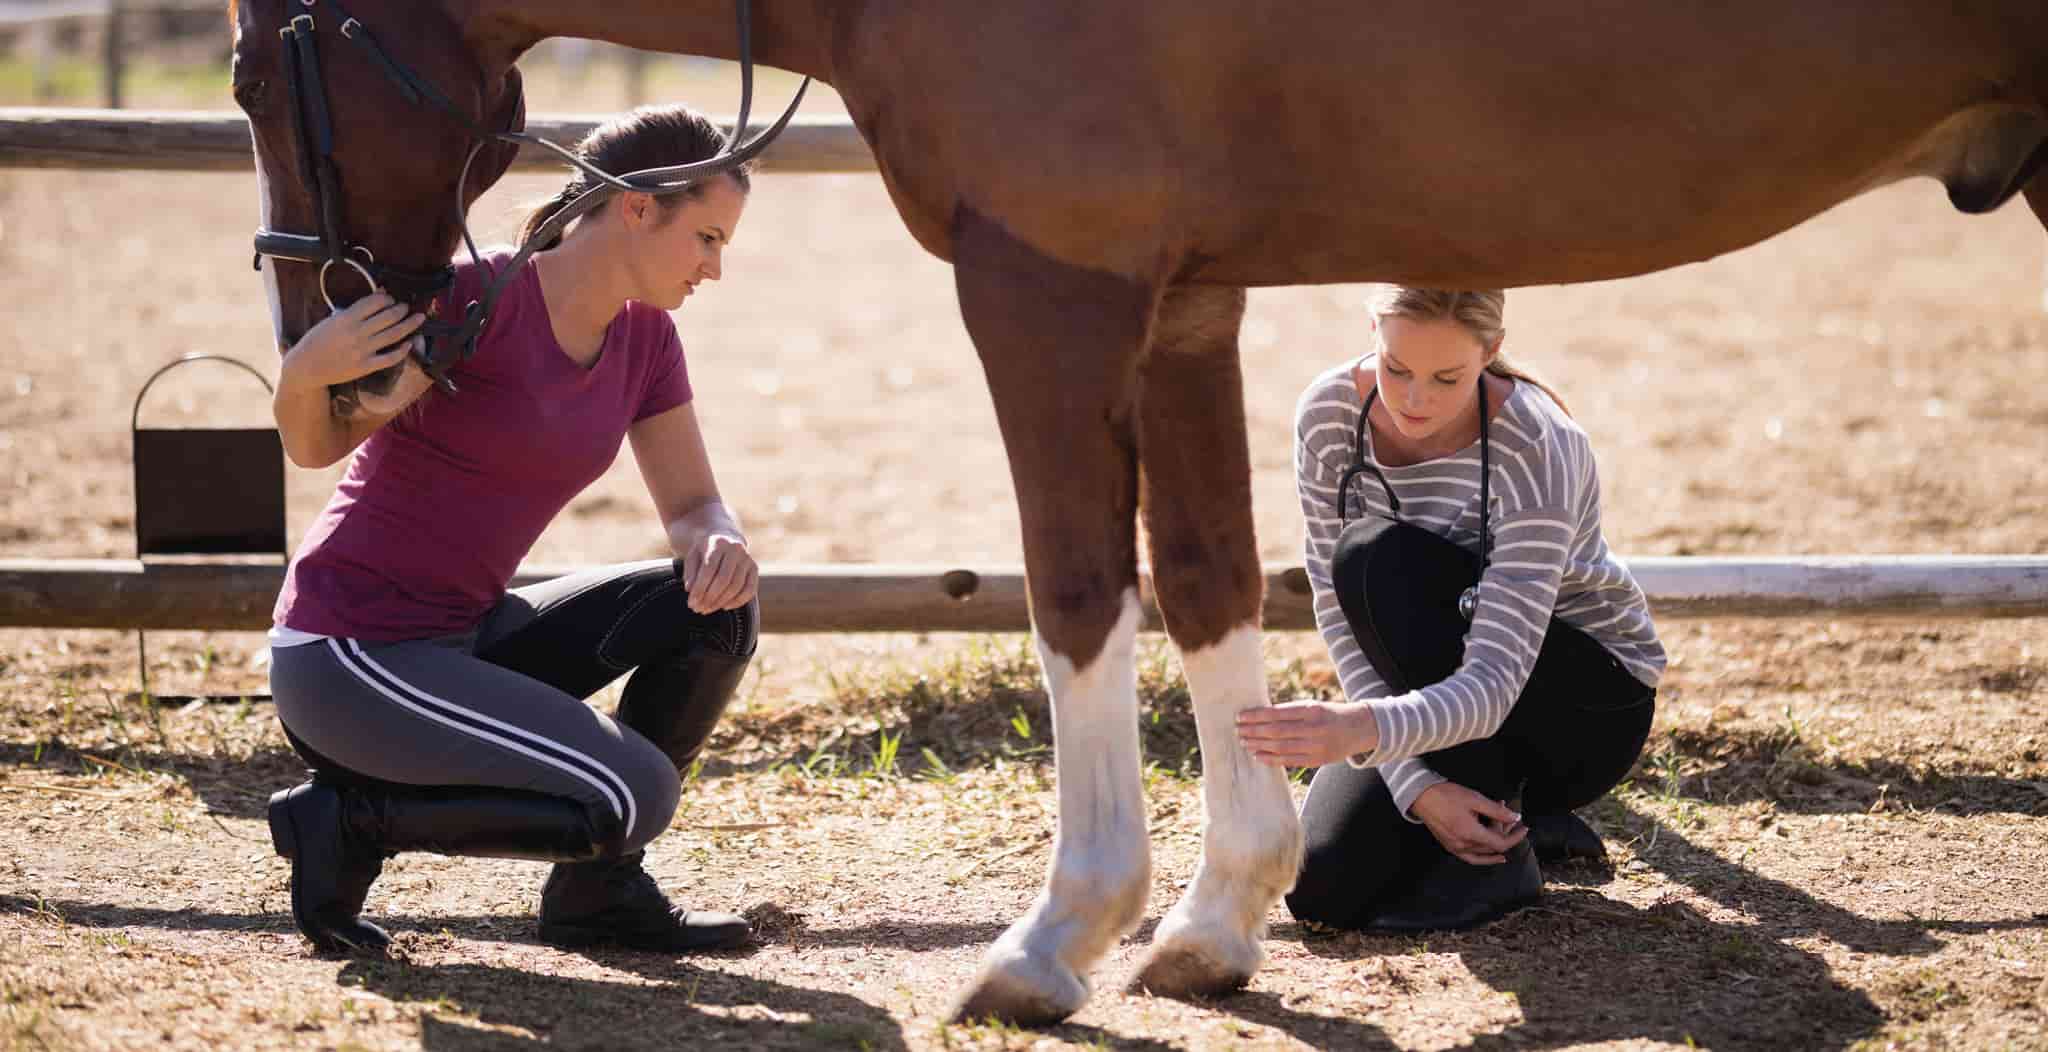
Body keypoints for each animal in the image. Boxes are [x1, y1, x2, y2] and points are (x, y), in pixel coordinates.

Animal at [228, 0, 2048, 1026]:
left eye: (254, 67)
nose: (341, 358)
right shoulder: (1184, 302)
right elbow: (1211, 580)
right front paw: (1212, 925)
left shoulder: (1046, 286)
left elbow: (1080, 590)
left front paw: (1054, 942)